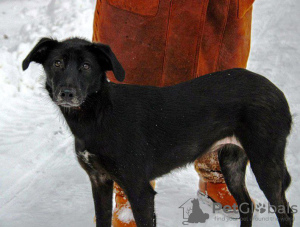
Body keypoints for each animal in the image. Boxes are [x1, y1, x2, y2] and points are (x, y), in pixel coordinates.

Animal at [22, 38, 292, 226]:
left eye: (87, 66)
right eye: (57, 63)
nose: (67, 93)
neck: (99, 115)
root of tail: (277, 91)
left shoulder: (140, 190)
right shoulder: (99, 180)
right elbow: (102, 219)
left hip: (266, 163)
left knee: (285, 213)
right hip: (231, 162)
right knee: (246, 205)